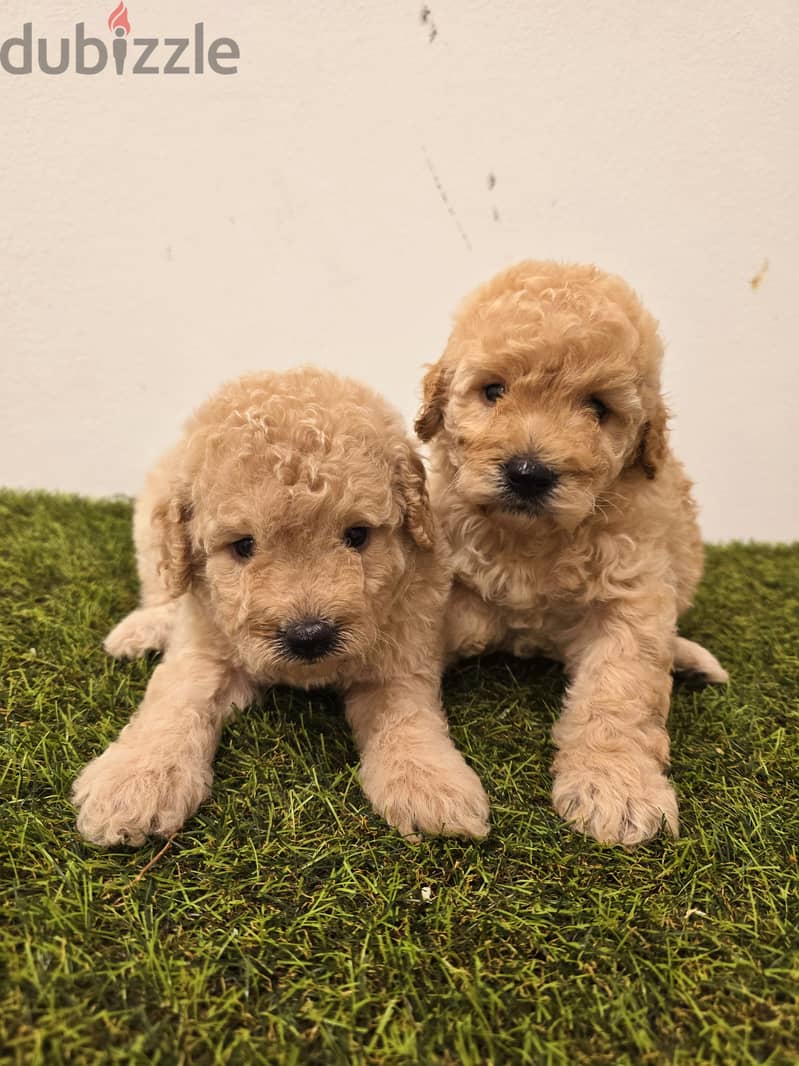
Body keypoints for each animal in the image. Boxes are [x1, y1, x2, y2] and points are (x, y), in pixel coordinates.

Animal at [71, 368, 492, 848]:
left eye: (358, 535)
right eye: (243, 545)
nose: (309, 636)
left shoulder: (404, 642)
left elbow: (405, 713)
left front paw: (429, 783)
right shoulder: (204, 640)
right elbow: (176, 696)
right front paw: (134, 781)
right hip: (150, 523)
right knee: (160, 588)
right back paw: (140, 630)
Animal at [415, 262, 728, 844]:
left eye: (598, 407)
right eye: (494, 390)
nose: (528, 473)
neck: (529, 540)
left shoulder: (633, 593)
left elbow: (619, 690)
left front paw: (616, 788)